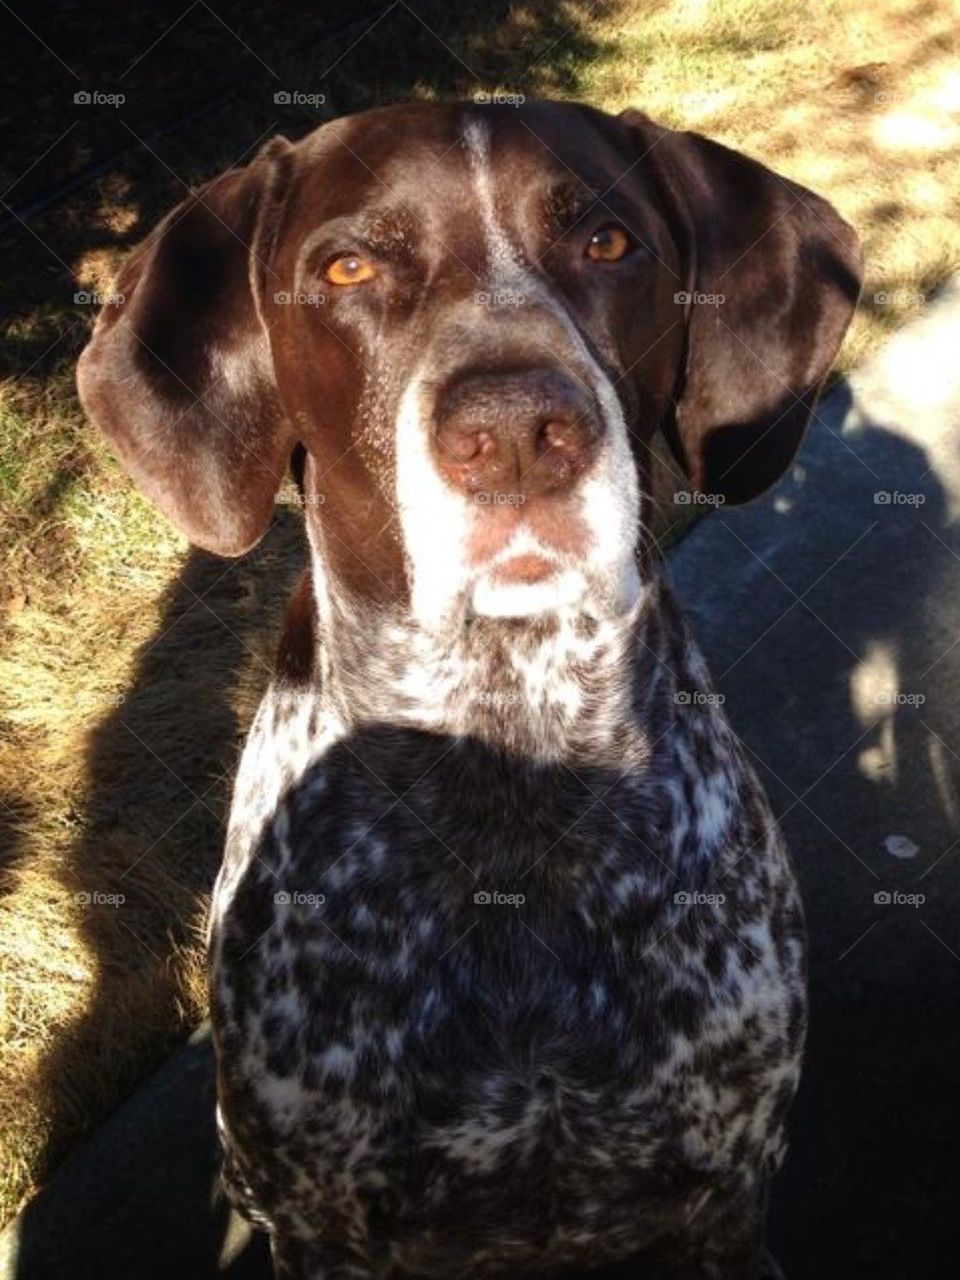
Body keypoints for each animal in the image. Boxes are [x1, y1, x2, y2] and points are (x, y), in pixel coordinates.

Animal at [79, 102, 865, 1280]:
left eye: (608, 242)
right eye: (348, 267)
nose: (519, 434)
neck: (509, 742)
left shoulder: (721, 1196)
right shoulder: (325, 1228)